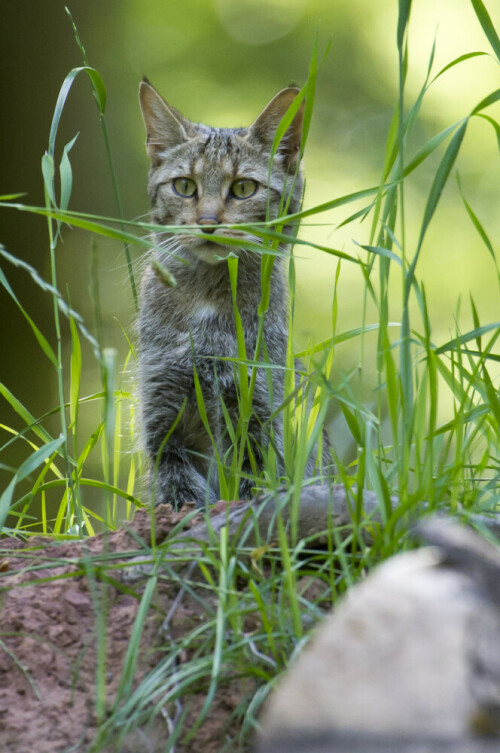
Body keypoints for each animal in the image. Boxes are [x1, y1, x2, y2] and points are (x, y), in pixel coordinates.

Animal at [137, 79, 316, 508]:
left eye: (243, 188)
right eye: (184, 186)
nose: (207, 222)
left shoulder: (258, 411)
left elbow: (253, 485)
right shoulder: (163, 414)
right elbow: (178, 490)